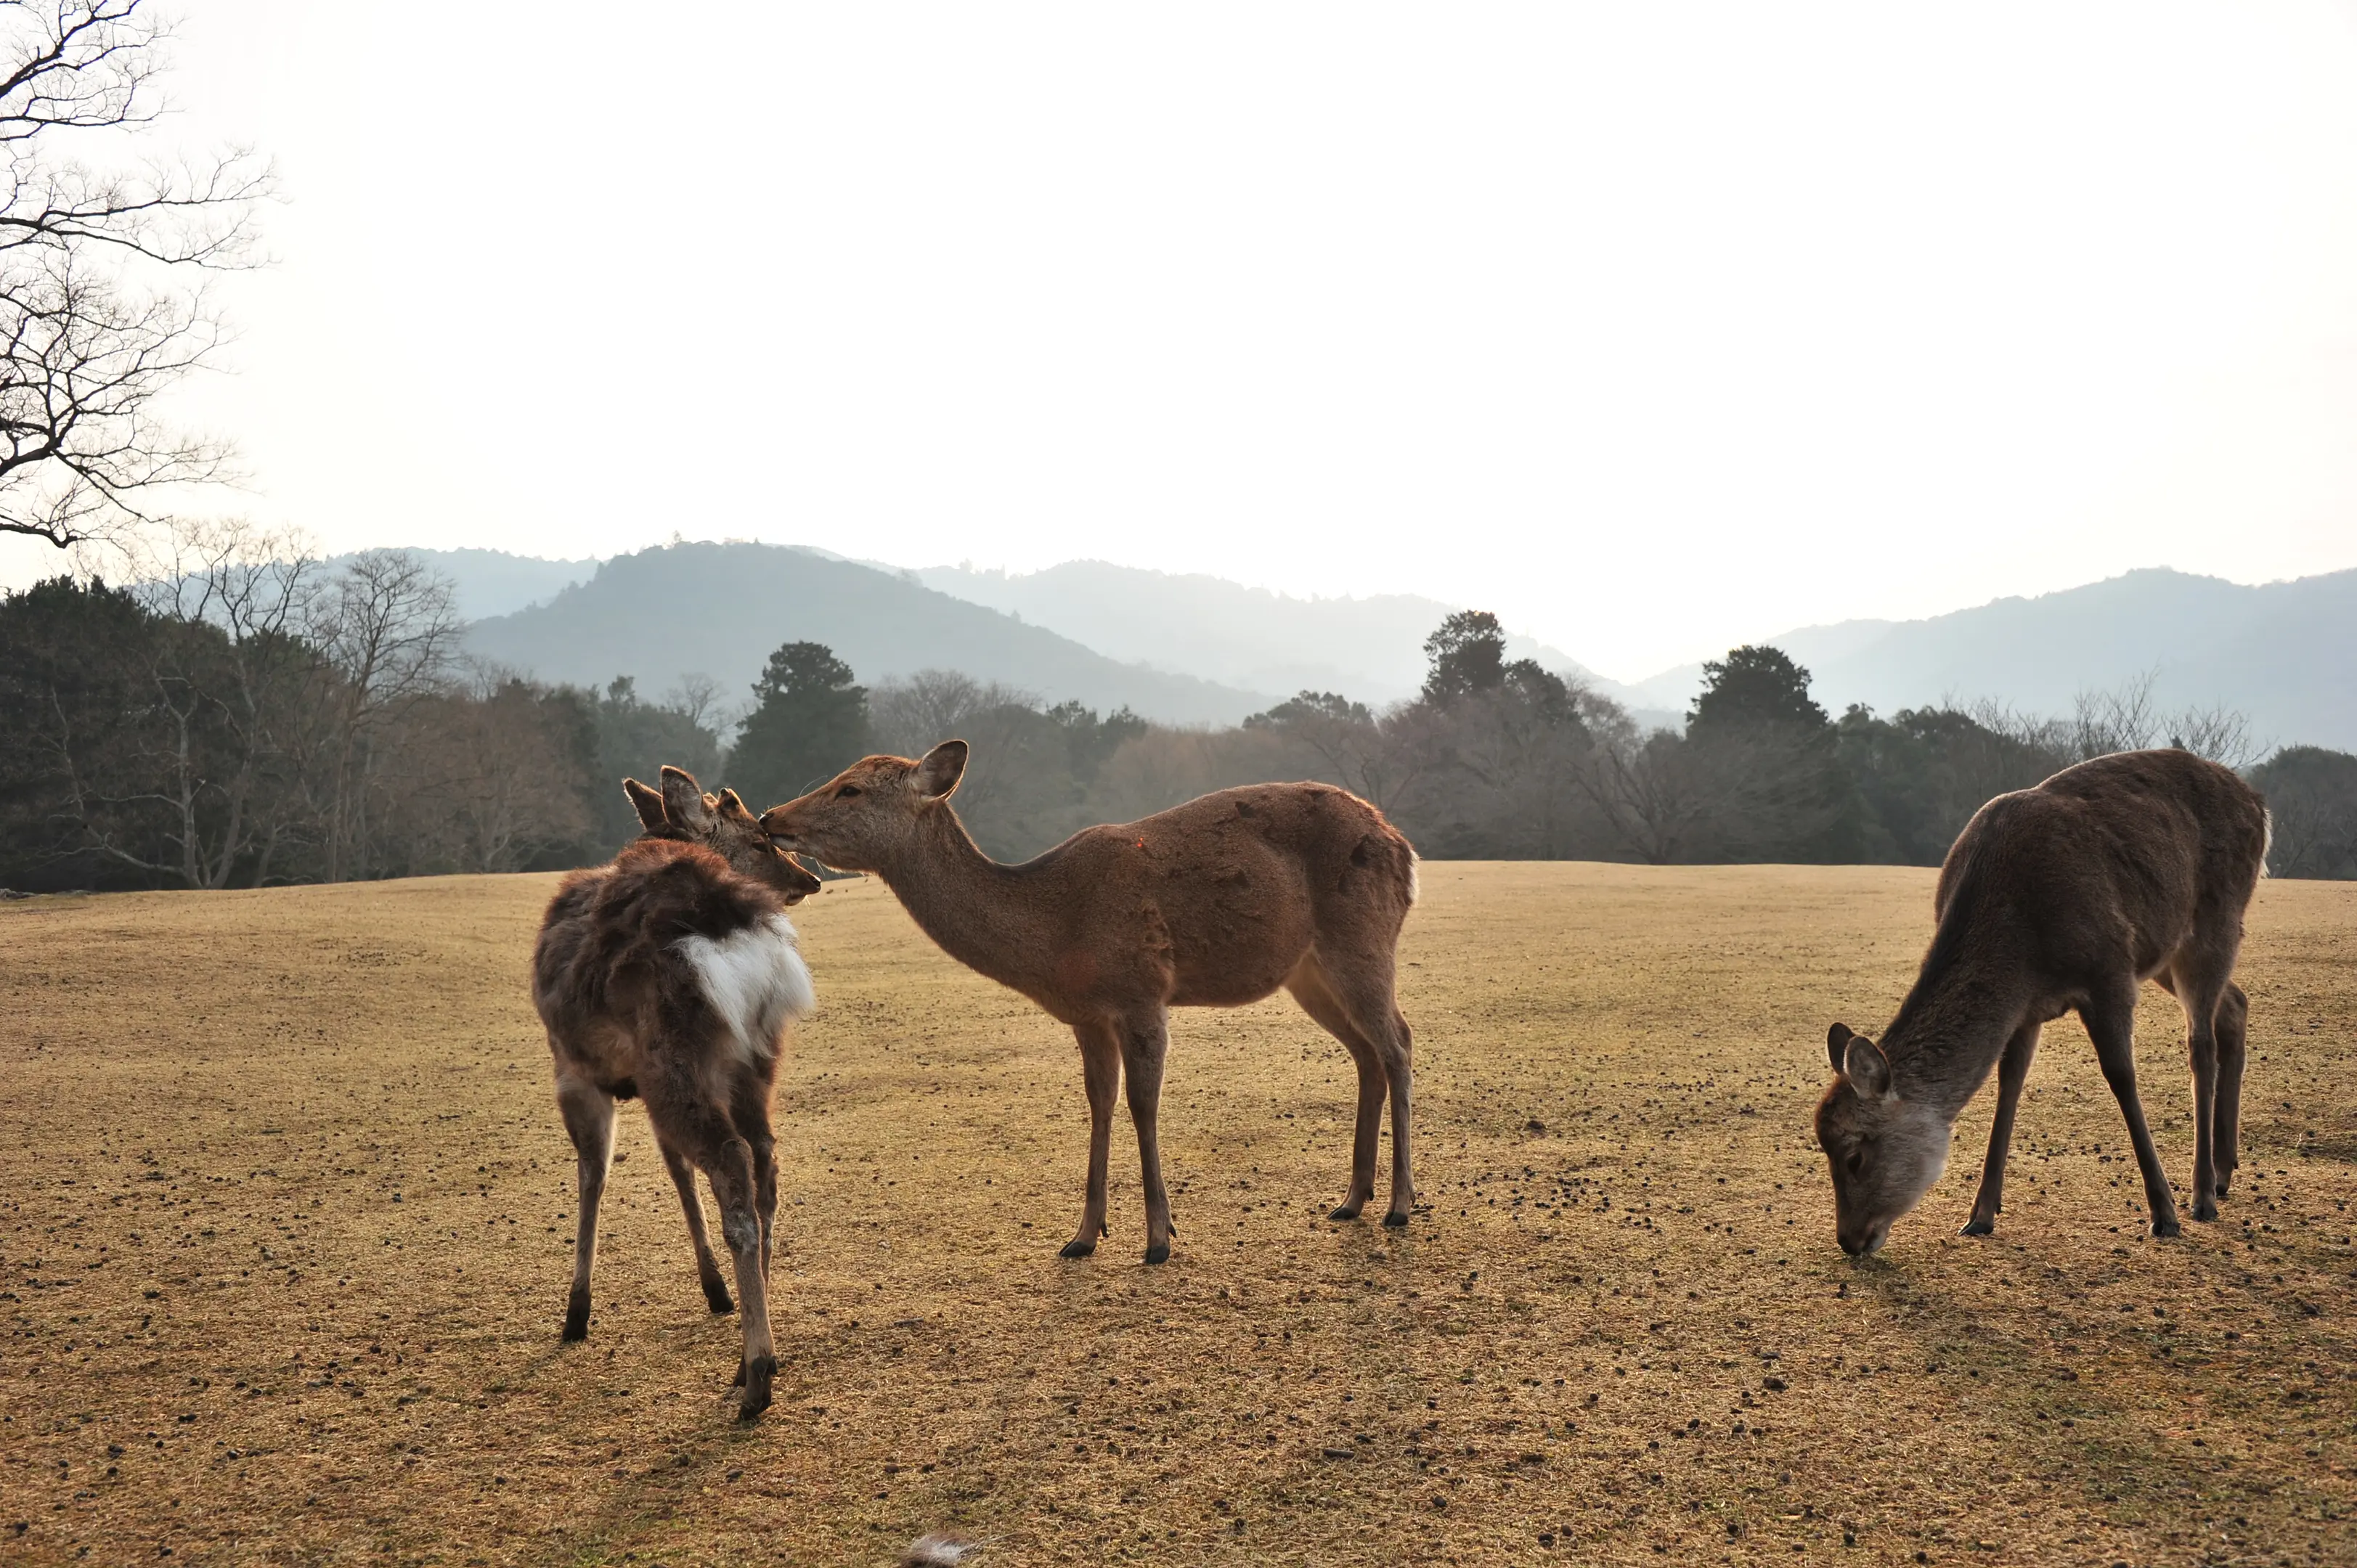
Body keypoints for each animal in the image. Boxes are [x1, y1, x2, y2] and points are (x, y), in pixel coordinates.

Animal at [530, 764, 825, 1414]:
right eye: (760, 840)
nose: (811, 878)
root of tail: (729, 927)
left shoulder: (574, 1070)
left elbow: (593, 1174)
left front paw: (576, 1312)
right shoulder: (639, 1083)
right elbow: (674, 1171)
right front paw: (715, 1291)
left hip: (674, 1055)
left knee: (730, 1161)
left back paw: (757, 1375)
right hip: (752, 1057)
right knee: (764, 1162)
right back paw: (753, 1355)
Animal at [759, 740, 1414, 1263]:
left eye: (851, 788)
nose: (769, 816)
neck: (1058, 937)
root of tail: (1402, 845)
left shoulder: (1143, 991)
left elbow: (1143, 1105)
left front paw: (1159, 1239)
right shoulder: (1086, 1016)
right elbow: (1099, 1103)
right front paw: (1082, 1235)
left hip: (1362, 937)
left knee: (1399, 1043)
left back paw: (1400, 1204)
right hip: (1307, 973)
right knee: (1367, 1053)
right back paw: (1352, 1199)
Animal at [1810, 754, 2272, 1254]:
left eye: (1854, 1155)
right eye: (1824, 1146)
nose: (1849, 1239)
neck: (2023, 942)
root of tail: (2259, 804)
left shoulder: (2110, 967)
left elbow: (2121, 1077)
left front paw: (2163, 1213)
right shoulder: (2025, 1006)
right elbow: (2009, 1082)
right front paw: (1980, 1214)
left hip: (2216, 920)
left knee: (2200, 1044)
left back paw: (2202, 1194)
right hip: (2164, 951)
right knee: (2236, 1004)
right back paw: (2225, 1171)